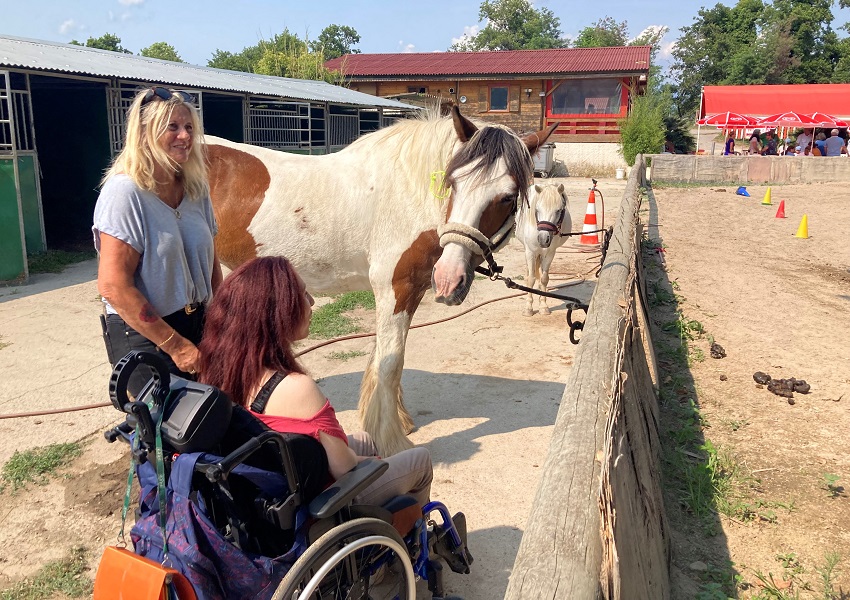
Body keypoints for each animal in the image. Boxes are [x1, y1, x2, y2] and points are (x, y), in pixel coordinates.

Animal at [205, 108, 556, 454]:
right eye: (453, 183)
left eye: (507, 197)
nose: (448, 279)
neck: (407, 194)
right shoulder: (395, 289)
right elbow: (389, 364)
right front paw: (391, 441)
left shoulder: (409, 291)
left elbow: (385, 360)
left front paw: (395, 422)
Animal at [510, 183, 568, 316]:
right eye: (537, 210)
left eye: (558, 210)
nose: (543, 239)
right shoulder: (530, 252)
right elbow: (531, 279)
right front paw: (528, 308)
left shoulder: (550, 253)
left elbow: (544, 279)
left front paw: (543, 306)